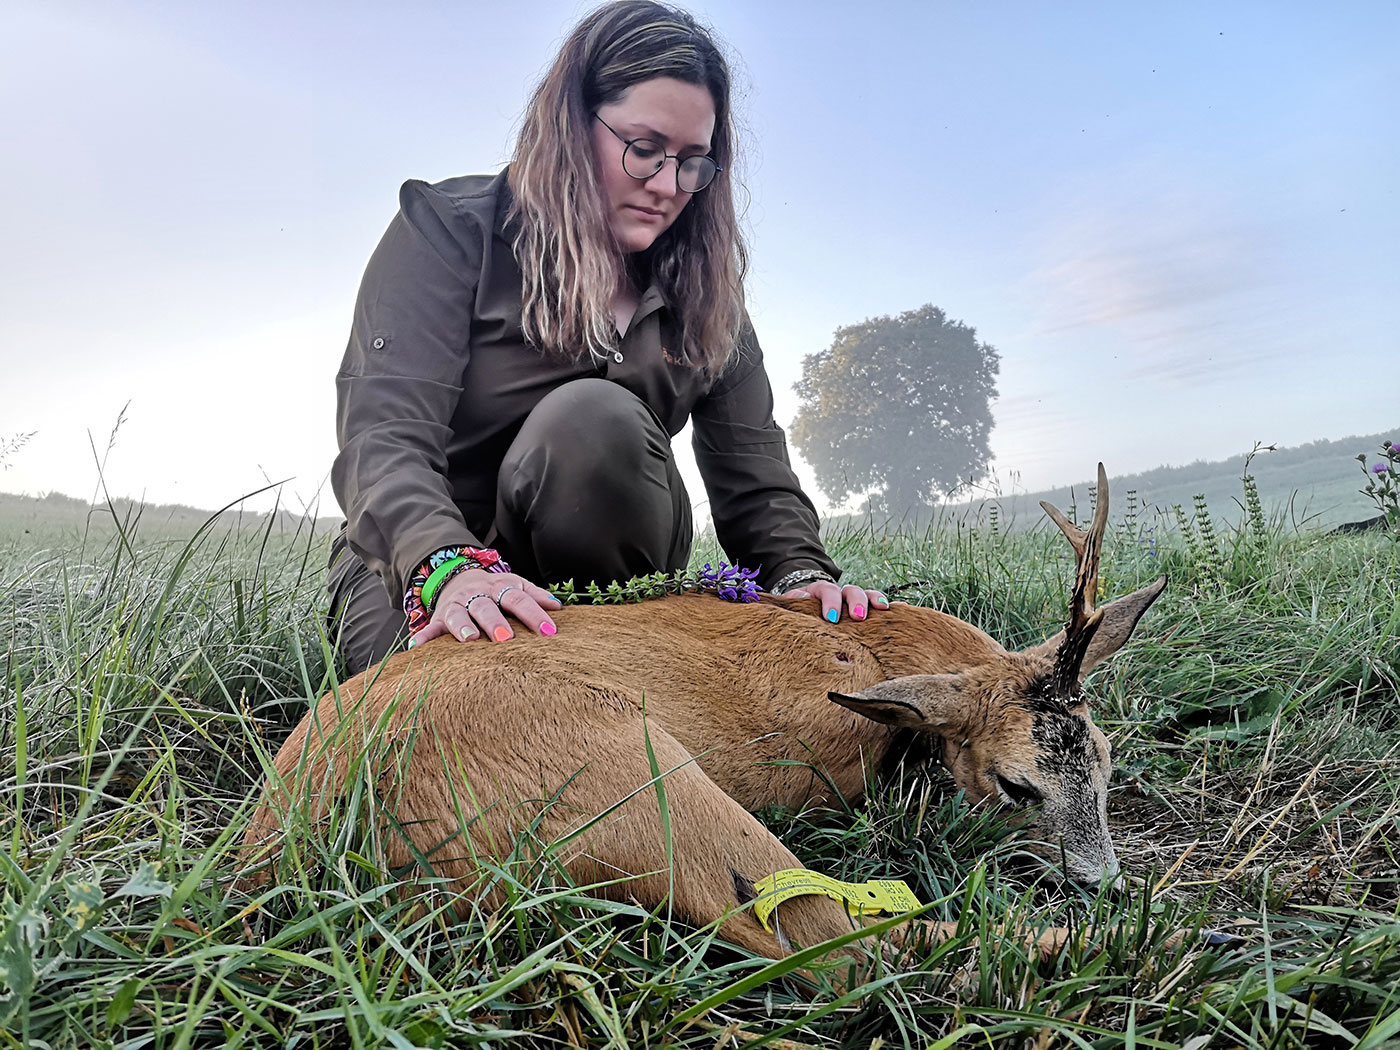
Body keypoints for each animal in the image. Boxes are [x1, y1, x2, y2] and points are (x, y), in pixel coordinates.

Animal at [246, 467, 1164, 968]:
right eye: (1017, 786)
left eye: (1106, 763)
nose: (1104, 885)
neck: (869, 650)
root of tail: (291, 836)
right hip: (636, 772)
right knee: (833, 944)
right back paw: (1112, 946)